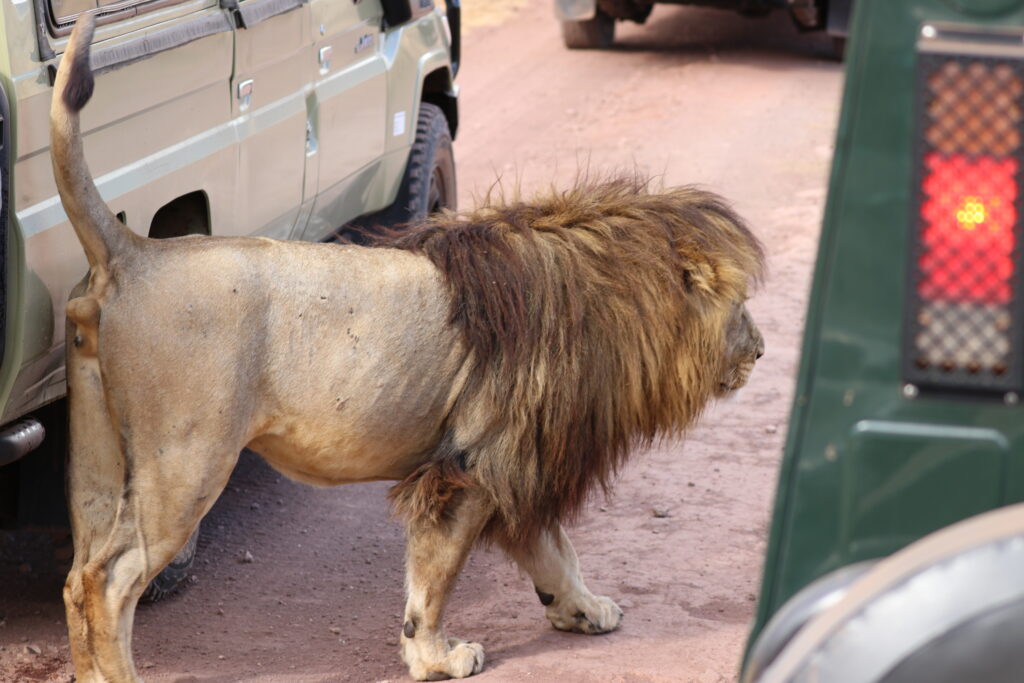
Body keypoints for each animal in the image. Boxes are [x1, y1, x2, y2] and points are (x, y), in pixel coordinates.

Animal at [51, 12, 765, 683]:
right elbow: (437, 577)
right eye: (738, 304)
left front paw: (582, 609)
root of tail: (133, 251)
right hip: (187, 460)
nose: (760, 351)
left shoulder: (516, 463)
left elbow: (554, 551)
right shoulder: (473, 463)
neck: (601, 299)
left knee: (77, 577)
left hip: (97, 463)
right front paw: (436, 657)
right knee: (110, 580)